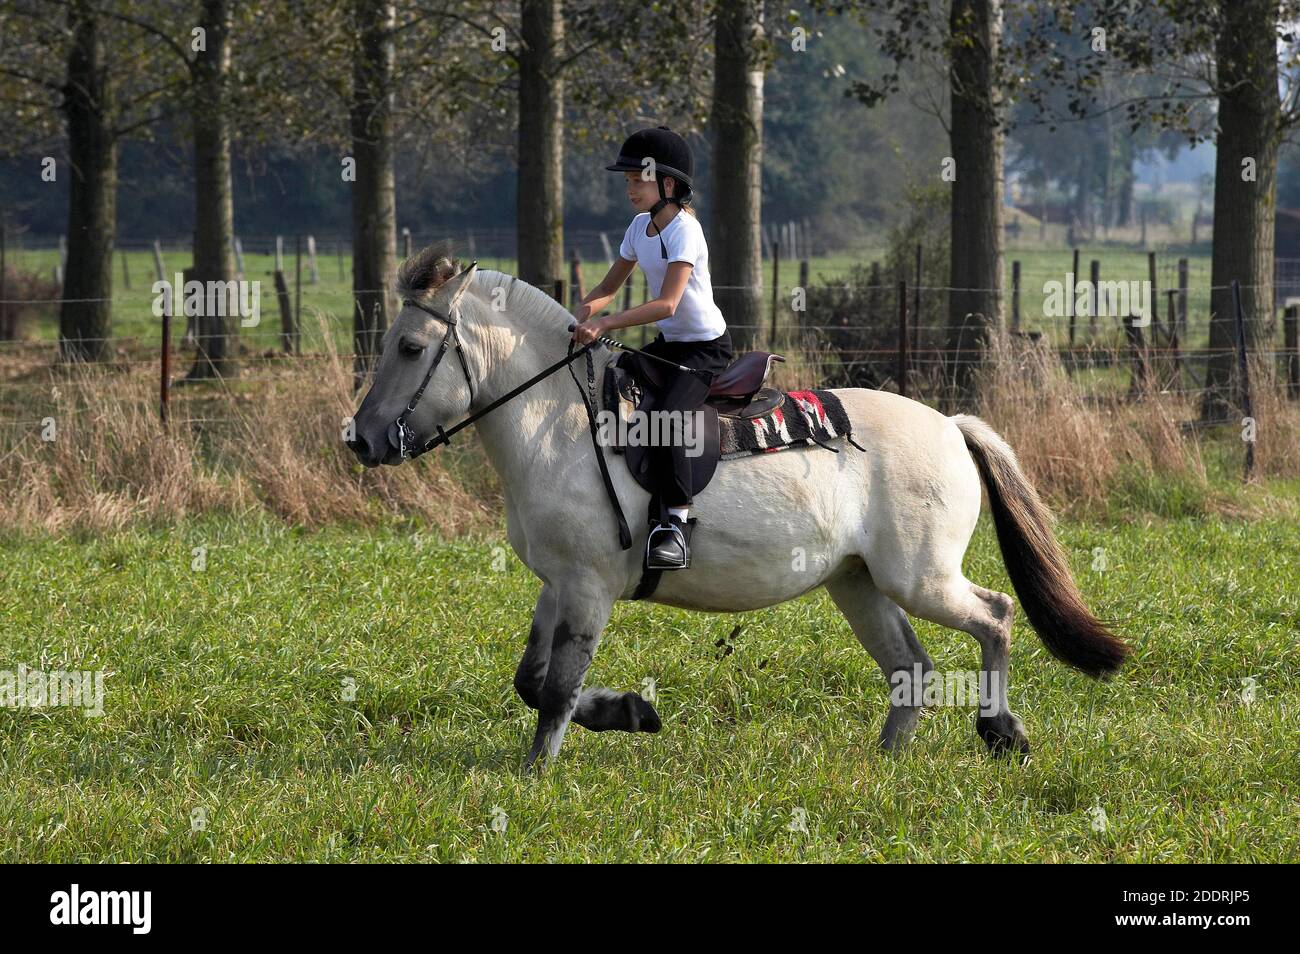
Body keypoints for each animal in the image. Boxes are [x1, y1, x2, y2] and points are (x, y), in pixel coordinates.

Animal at [347, 246, 1130, 769]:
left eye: (410, 346)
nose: (358, 439)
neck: (561, 423)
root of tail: (950, 426)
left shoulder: (589, 587)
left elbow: (557, 688)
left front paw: (538, 771)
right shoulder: (558, 583)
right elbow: (532, 678)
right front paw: (631, 712)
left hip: (920, 576)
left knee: (994, 615)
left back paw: (1000, 732)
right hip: (858, 582)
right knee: (912, 666)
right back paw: (885, 758)